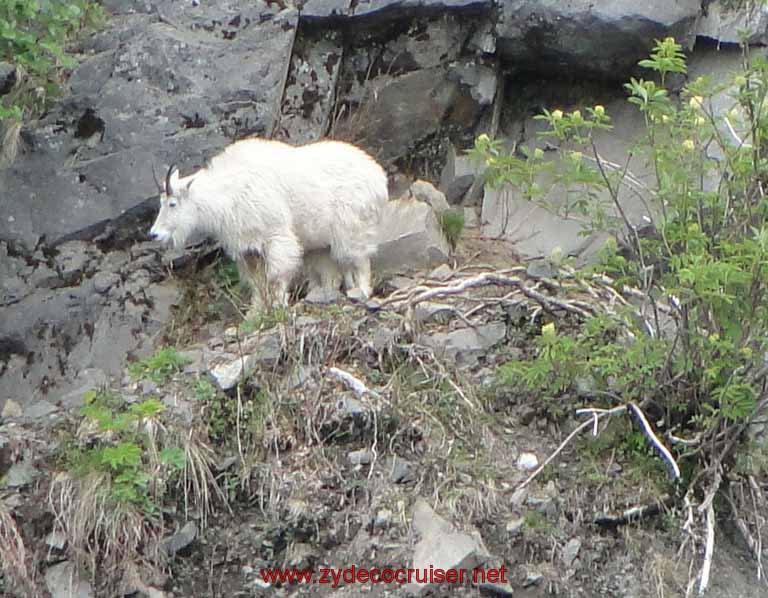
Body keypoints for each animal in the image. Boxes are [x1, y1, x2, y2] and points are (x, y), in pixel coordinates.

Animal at [148, 139, 390, 312]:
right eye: (160, 203)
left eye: (172, 203)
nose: (154, 234)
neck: (228, 194)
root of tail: (379, 176)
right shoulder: (248, 249)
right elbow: (257, 283)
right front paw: (257, 313)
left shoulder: (275, 236)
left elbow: (276, 275)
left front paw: (279, 305)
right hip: (323, 244)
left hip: (353, 228)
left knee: (360, 261)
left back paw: (362, 291)